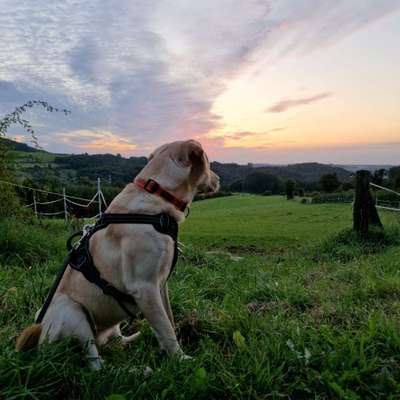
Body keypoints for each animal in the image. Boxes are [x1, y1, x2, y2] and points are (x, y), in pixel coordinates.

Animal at [16, 139, 219, 370]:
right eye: (209, 162)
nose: (219, 179)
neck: (157, 194)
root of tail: (40, 338)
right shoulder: (145, 287)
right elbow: (166, 329)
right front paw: (181, 360)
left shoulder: (161, 284)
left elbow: (168, 319)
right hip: (73, 312)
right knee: (97, 365)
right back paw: (136, 371)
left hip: (107, 324)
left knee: (117, 340)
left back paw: (137, 339)